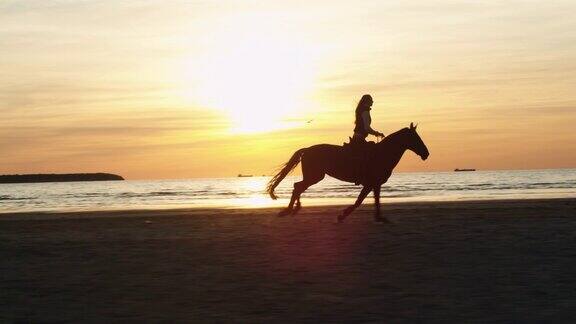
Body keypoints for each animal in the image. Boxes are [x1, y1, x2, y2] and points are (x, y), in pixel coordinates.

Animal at [266, 122, 428, 223]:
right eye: (416, 138)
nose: (426, 154)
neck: (382, 154)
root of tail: (307, 150)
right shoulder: (370, 183)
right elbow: (359, 201)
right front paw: (342, 216)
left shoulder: (375, 184)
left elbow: (375, 201)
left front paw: (380, 218)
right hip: (315, 176)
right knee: (298, 187)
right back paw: (288, 210)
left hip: (314, 176)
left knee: (298, 186)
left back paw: (294, 209)